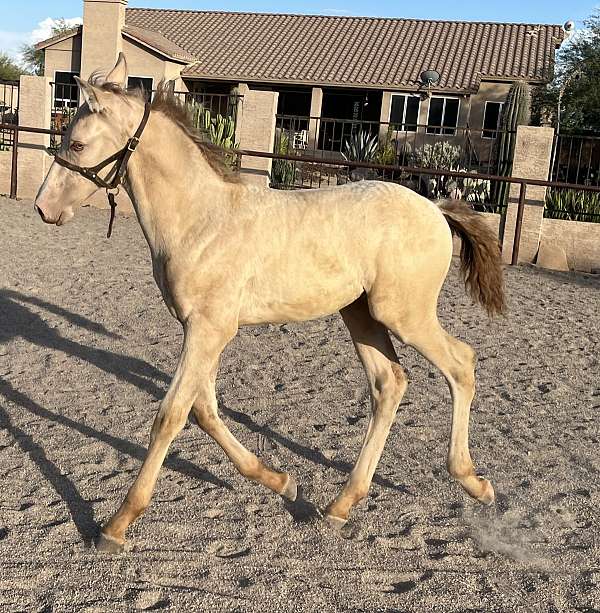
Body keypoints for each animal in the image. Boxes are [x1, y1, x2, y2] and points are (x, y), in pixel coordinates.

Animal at [35, 55, 504, 552]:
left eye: (78, 143)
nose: (43, 208)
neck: (202, 219)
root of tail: (435, 207)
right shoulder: (200, 329)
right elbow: (204, 411)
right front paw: (281, 481)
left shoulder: (210, 329)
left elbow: (171, 414)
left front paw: (117, 525)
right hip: (360, 314)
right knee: (389, 383)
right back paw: (339, 506)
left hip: (403, 314)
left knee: (461, 363)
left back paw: (473, 482)